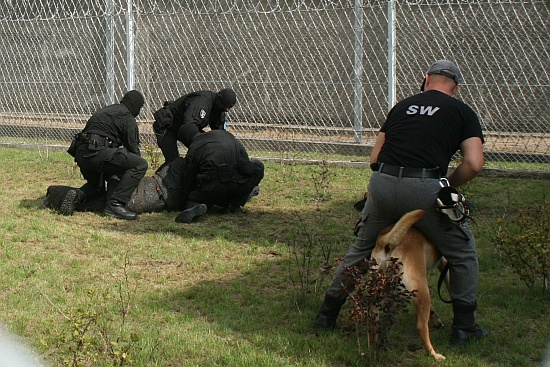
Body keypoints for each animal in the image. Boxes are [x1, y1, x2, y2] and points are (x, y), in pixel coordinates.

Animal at [374, 210, 450, 362]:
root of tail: (386, 242)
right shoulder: (445, 264)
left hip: (383, 287)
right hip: (421, 289)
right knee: (421, 327)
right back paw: (434, 355)